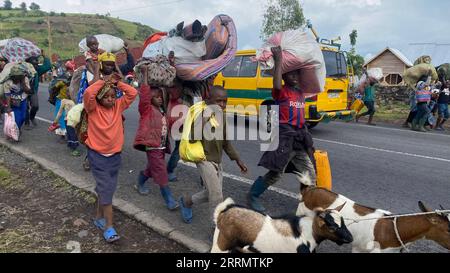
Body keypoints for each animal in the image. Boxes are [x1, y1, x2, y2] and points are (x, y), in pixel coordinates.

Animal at [209, 197, 354, 252]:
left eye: (343, 221)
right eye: (332, 227)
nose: (350, 238)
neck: (306, 233)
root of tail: (224, 211)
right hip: (221, 245)